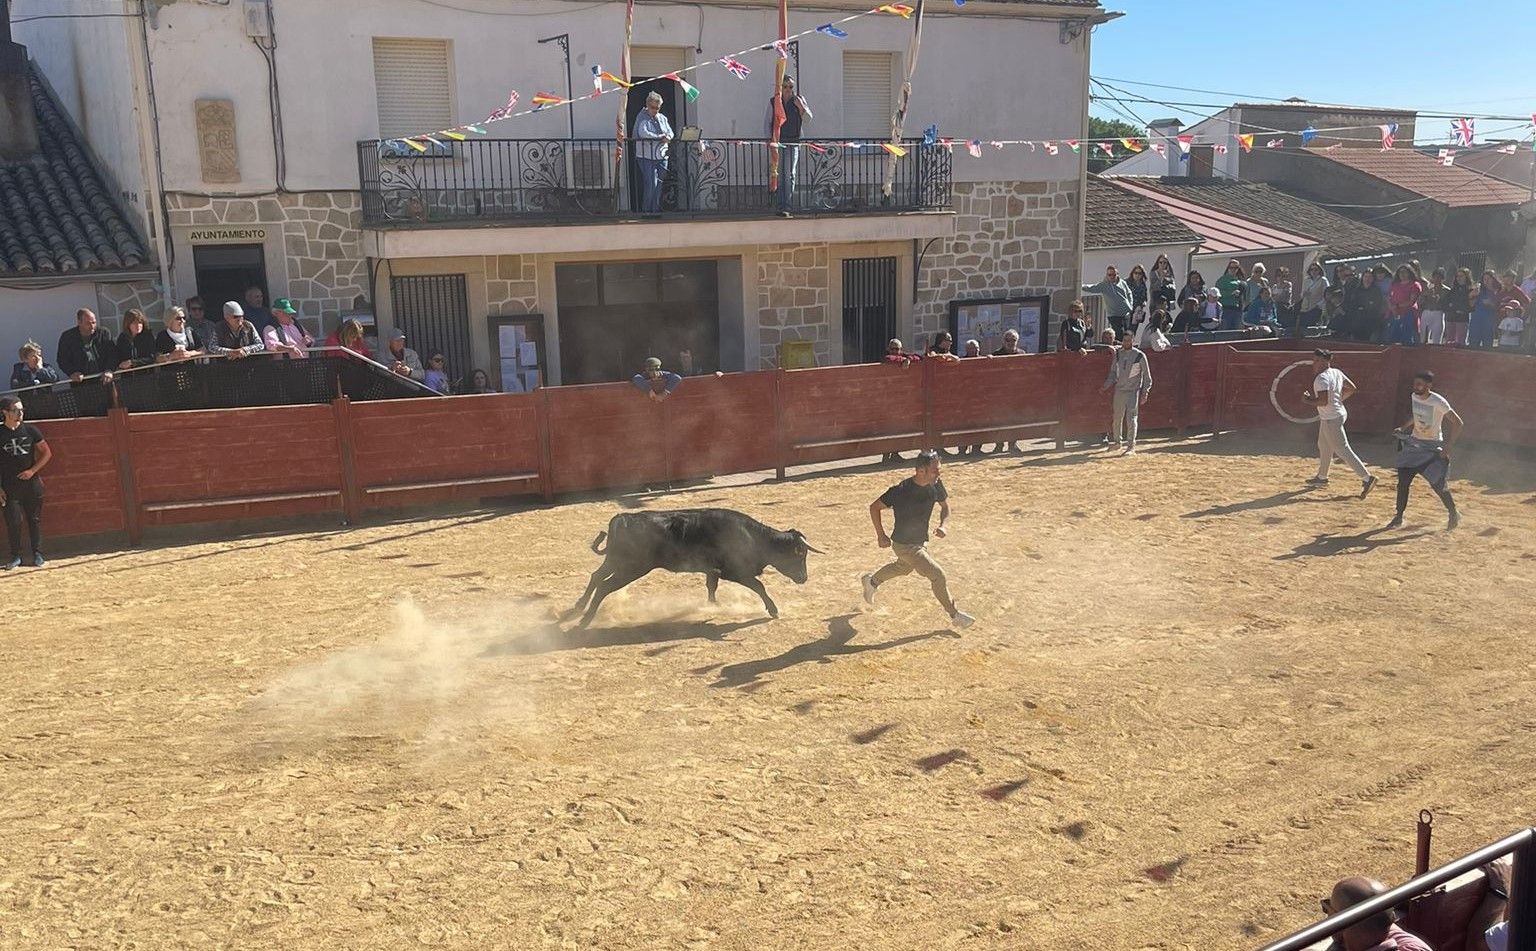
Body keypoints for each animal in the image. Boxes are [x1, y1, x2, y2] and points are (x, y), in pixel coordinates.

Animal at [568, 510, 829, 629]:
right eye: (800, 554)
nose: (804, 578)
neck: (754, 537)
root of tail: (622, 518)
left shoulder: (712, 571)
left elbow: (711, 587)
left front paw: (711, 606)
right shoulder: (735, 572)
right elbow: (759, 585)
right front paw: (773, 610)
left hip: (616, 562)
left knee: (596, 576)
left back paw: (578, 608)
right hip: (631, 567)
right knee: (604, 586)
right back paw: (585, 620)